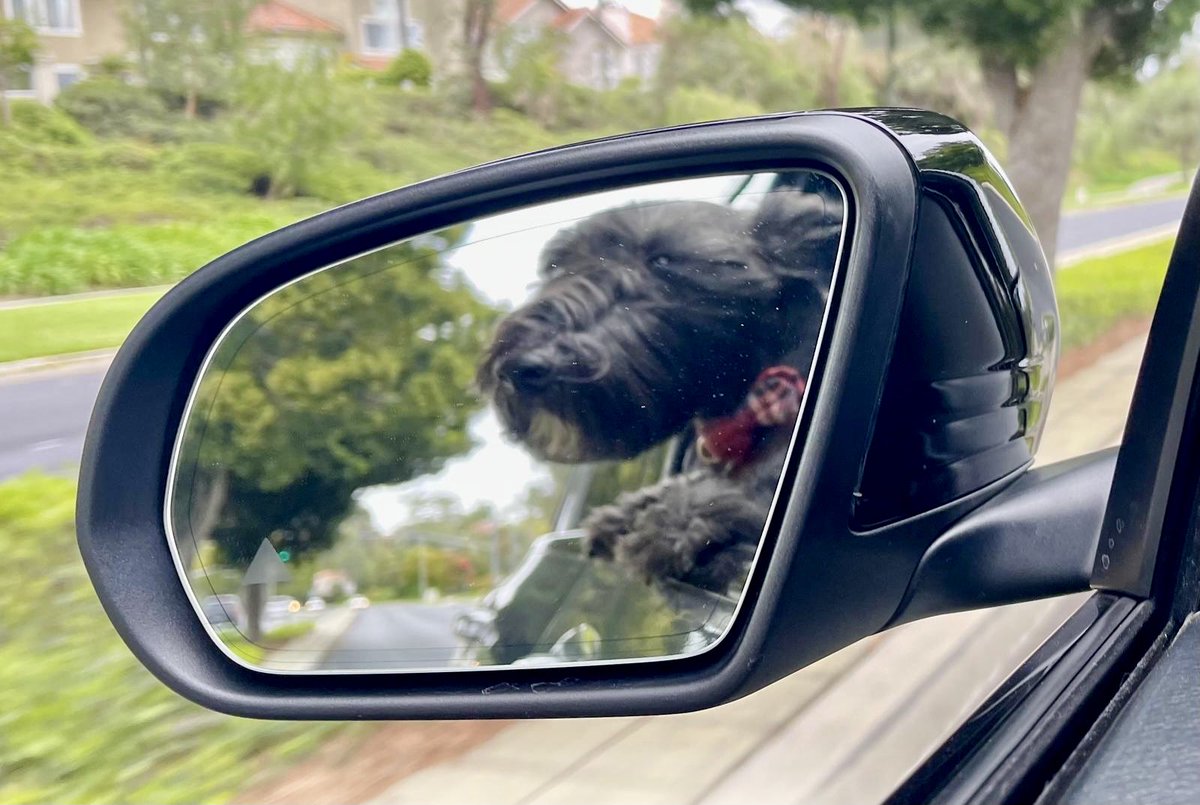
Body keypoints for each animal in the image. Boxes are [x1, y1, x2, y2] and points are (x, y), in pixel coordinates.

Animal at [477, 187, 844, 592]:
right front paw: (629, 513)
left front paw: (673, 524)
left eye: (663, 261)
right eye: (559, 265)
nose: (521, 366)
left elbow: (747, 488)